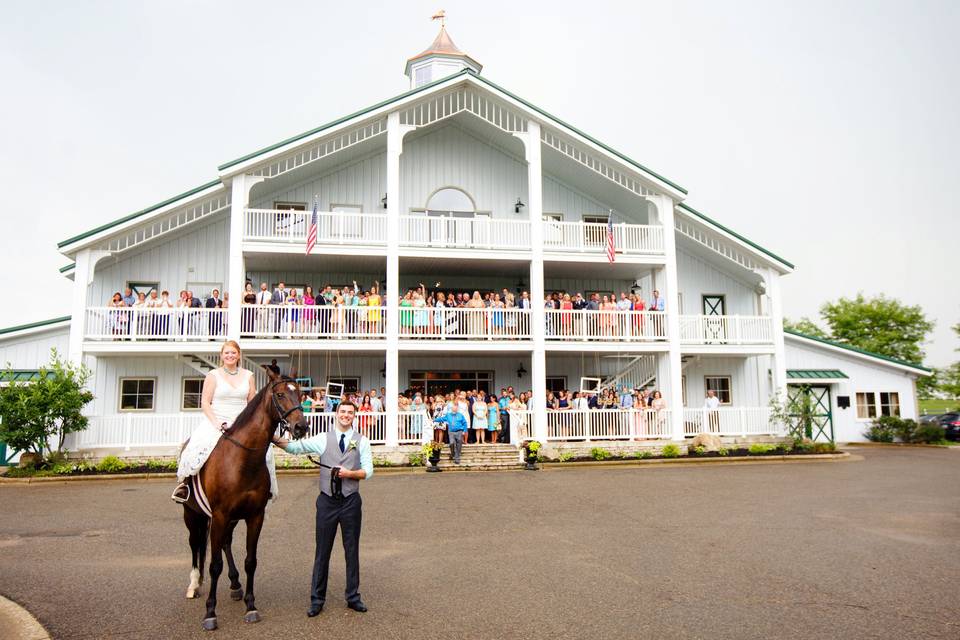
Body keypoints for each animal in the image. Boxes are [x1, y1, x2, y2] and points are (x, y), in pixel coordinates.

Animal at [183, 368, 308, 632]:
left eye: (301, 393)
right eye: (280, 394)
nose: (301, 426)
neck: (242, 459)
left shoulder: (254, 516)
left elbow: (251, 561)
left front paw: (251, 605)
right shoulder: (219, 515)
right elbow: (214, 565)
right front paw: (210, 612)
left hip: (229, 519)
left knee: (226, 543)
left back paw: (235, 584)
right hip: (192, 514)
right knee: (195, 544)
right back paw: (194, 584)